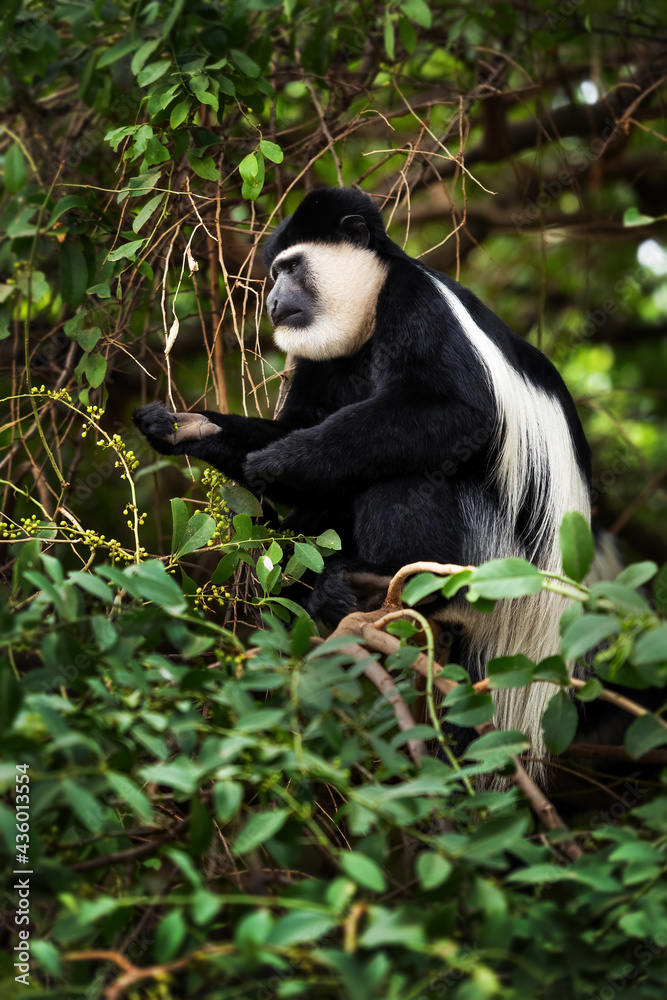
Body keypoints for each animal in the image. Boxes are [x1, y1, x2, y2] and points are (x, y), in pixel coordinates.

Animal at [133, 188, 592, 764]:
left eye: (291, 267)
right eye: (274, 272)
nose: (271, 299)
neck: (368, 319)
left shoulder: (415, 302)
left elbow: (459, 411)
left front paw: (282, 460)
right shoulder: (319, 355)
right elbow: (299, 422)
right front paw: (184, 428)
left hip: (491, 562)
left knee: (409, 473)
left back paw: (388, 580)